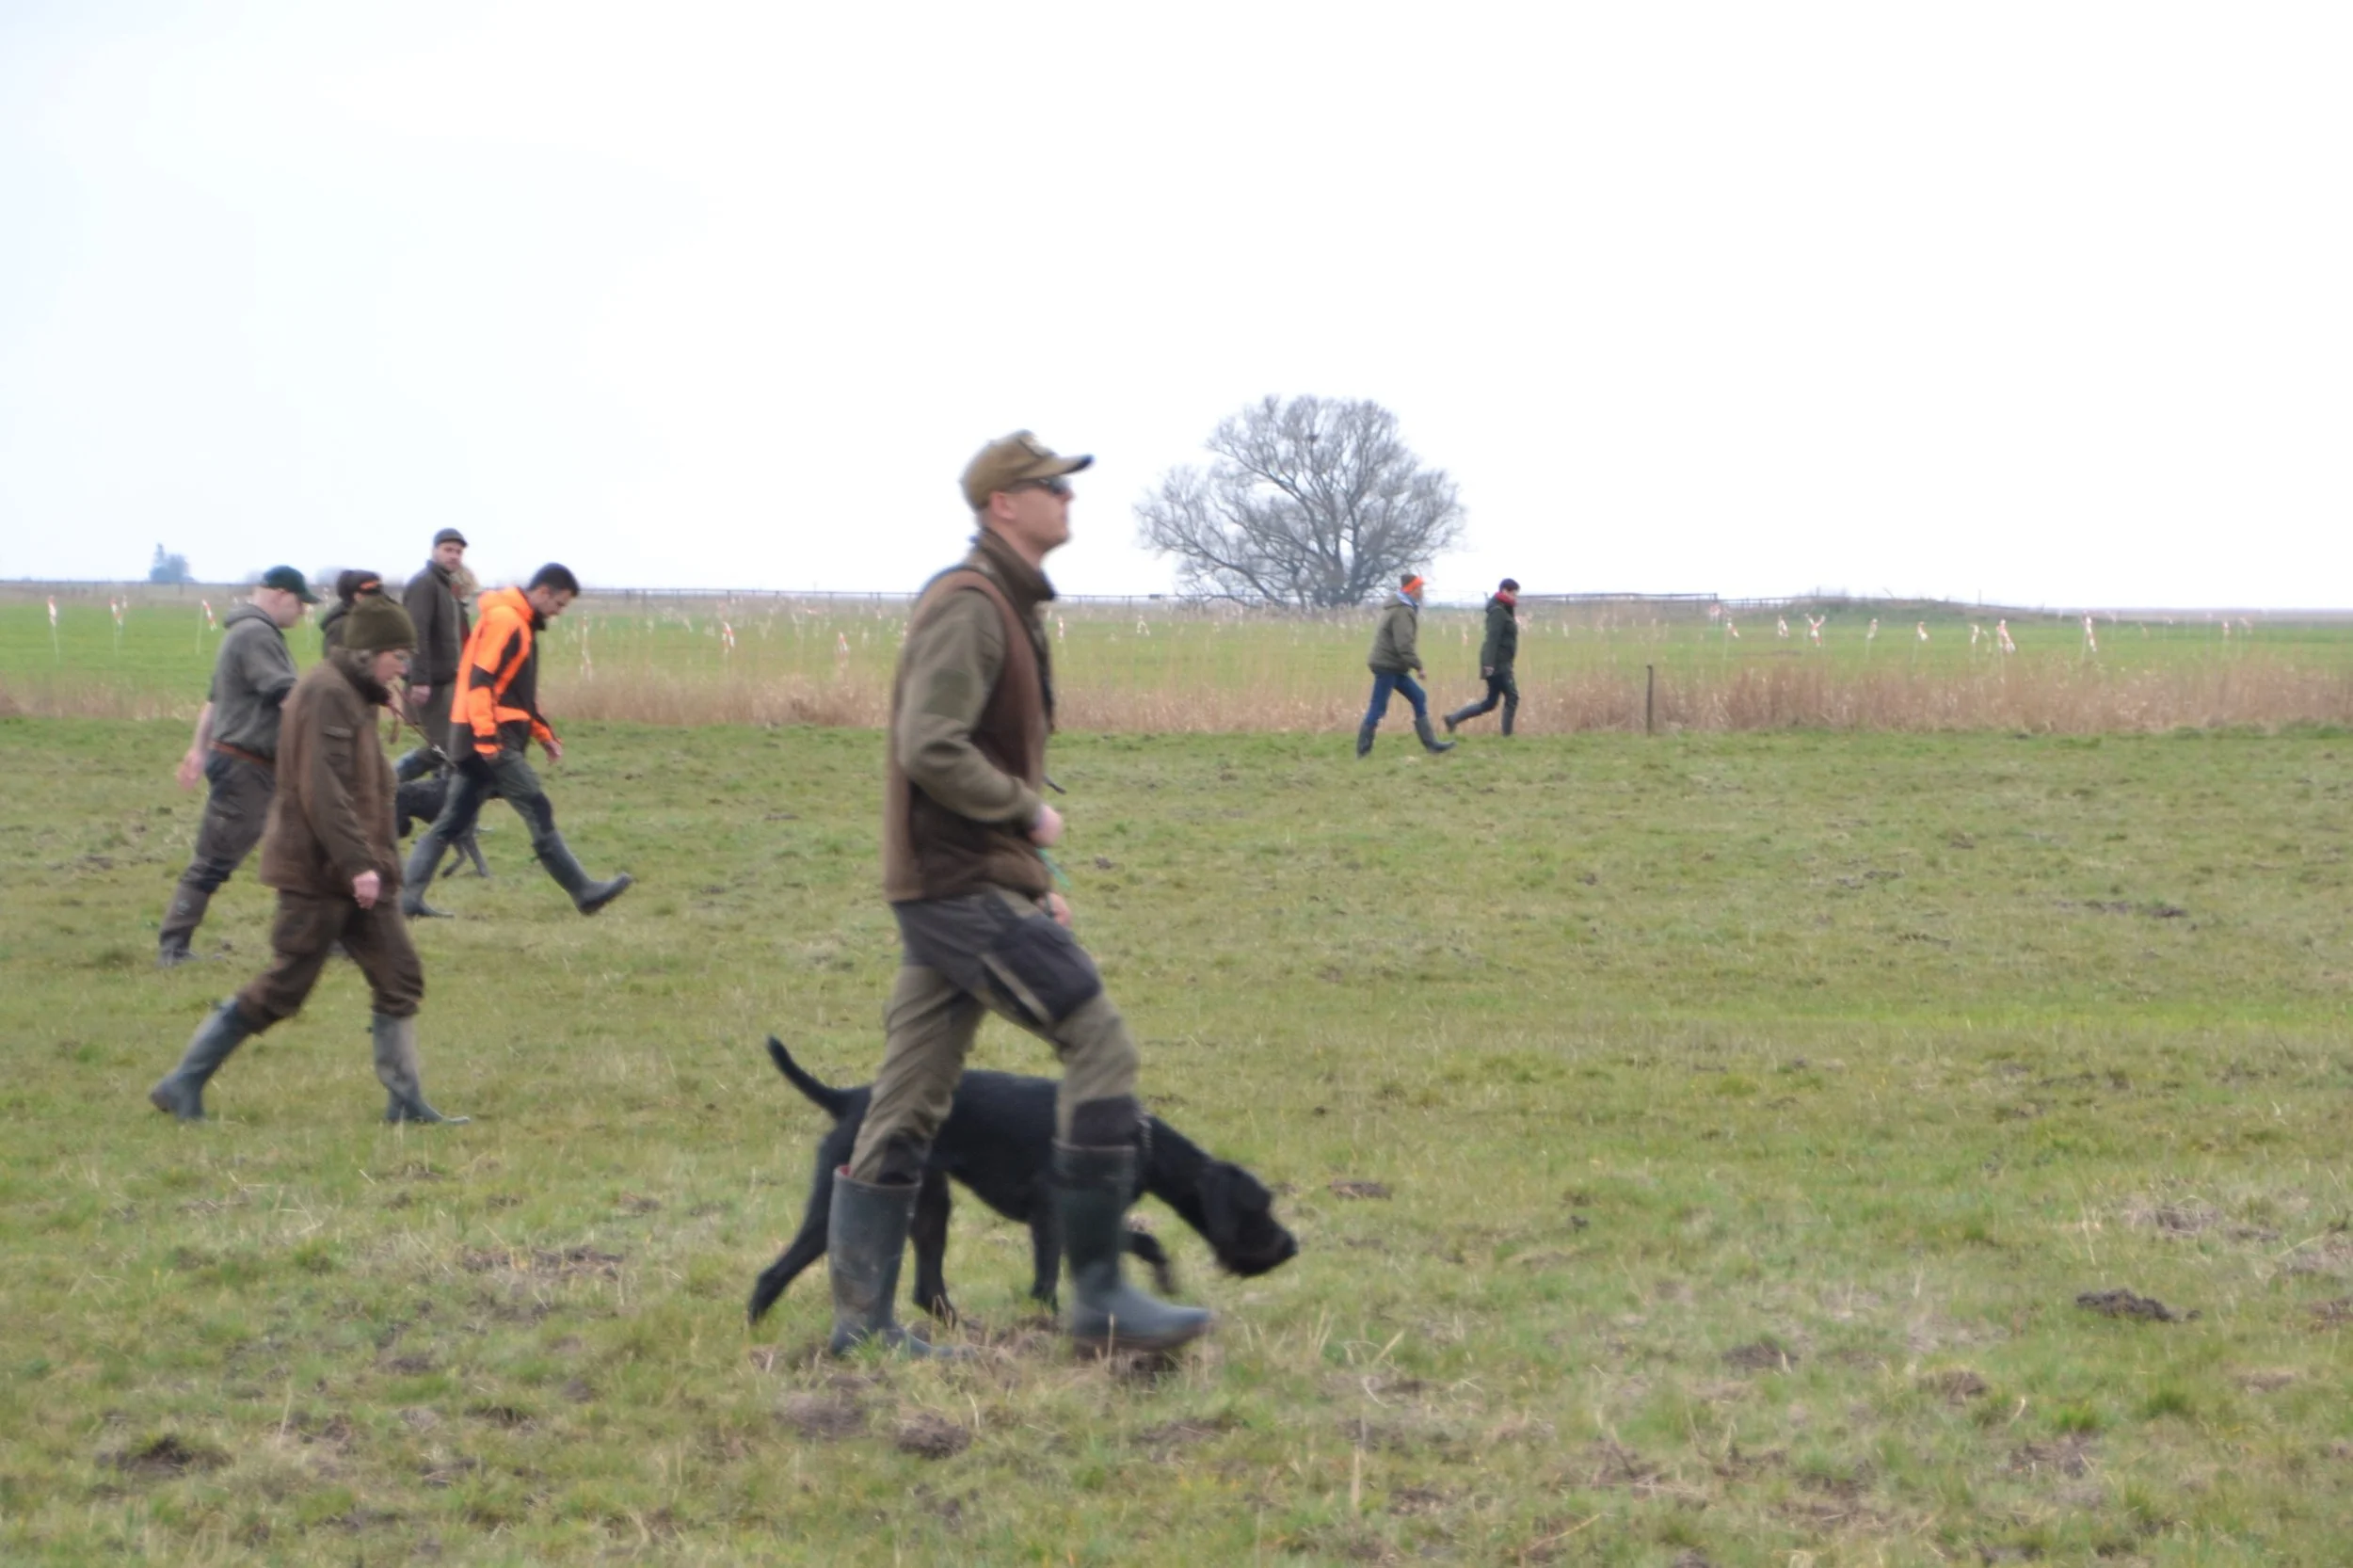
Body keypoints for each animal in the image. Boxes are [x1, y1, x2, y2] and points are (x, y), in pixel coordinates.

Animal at [748, 1038, 1297, 1325]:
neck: (1141, 1140)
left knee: (928, 1290)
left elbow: (1142, 1241)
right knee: (773, 1274)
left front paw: (1162, 1280)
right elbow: (1050, 1278)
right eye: (1261, 1207)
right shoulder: (1052, 1215)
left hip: (929, 1206)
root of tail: (849, 1098)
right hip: (839, 1203)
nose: (1292, 1246)